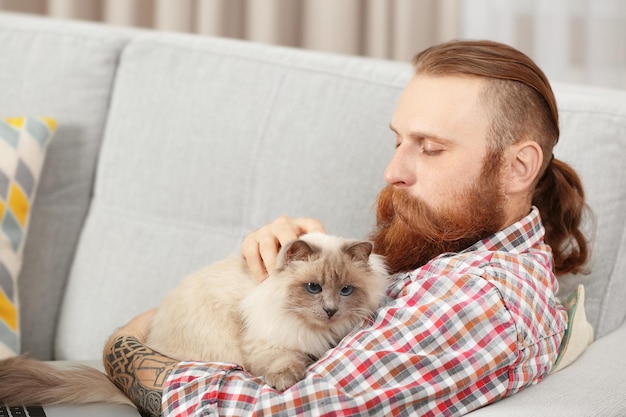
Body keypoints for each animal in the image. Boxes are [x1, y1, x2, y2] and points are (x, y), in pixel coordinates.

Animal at [0, 232, 388, 404]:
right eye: (312, 287)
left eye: (346, 291)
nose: (330, 310)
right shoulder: (266, 341)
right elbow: (283, 363)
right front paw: (285, 382)